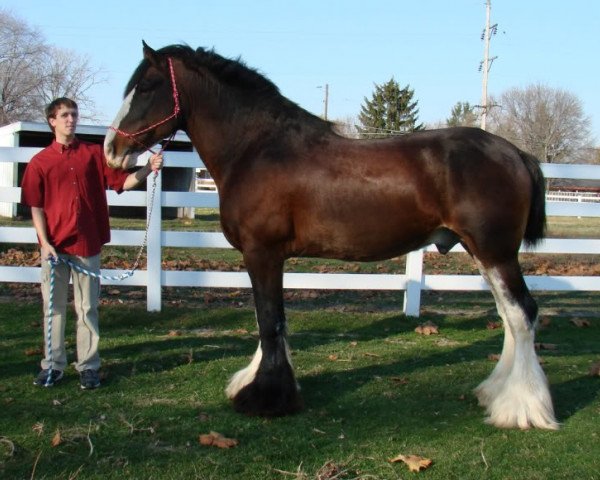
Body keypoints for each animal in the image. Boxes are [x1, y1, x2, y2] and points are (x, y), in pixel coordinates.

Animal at [103, 43, 556, 430]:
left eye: (147, 86)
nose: (111, 149)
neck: (258, 149)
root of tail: (516, 153)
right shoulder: (264, 257)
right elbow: (267, 320)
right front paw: (255, 382)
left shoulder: (262, 253)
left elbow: (271, 321)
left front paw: (266, 398)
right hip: (484, 254)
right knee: (508, 316)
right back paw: (496, 393)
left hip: (497, 252)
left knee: (522, 313)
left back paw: (521, 408)